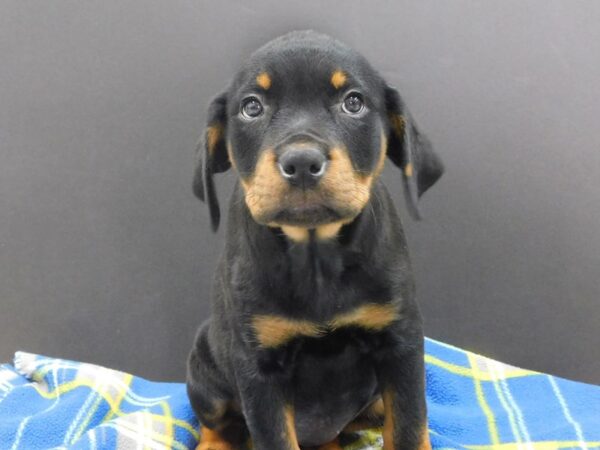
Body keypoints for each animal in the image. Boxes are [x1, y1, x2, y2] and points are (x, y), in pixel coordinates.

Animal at [188, 29, 446, 448]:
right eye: (251, 107)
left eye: (353, 102)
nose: (302, 163)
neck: (315, 255)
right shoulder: (258, 366)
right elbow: (274, 437)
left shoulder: (400, 340)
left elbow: (409, 425)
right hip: (204, 365)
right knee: (215, 422)